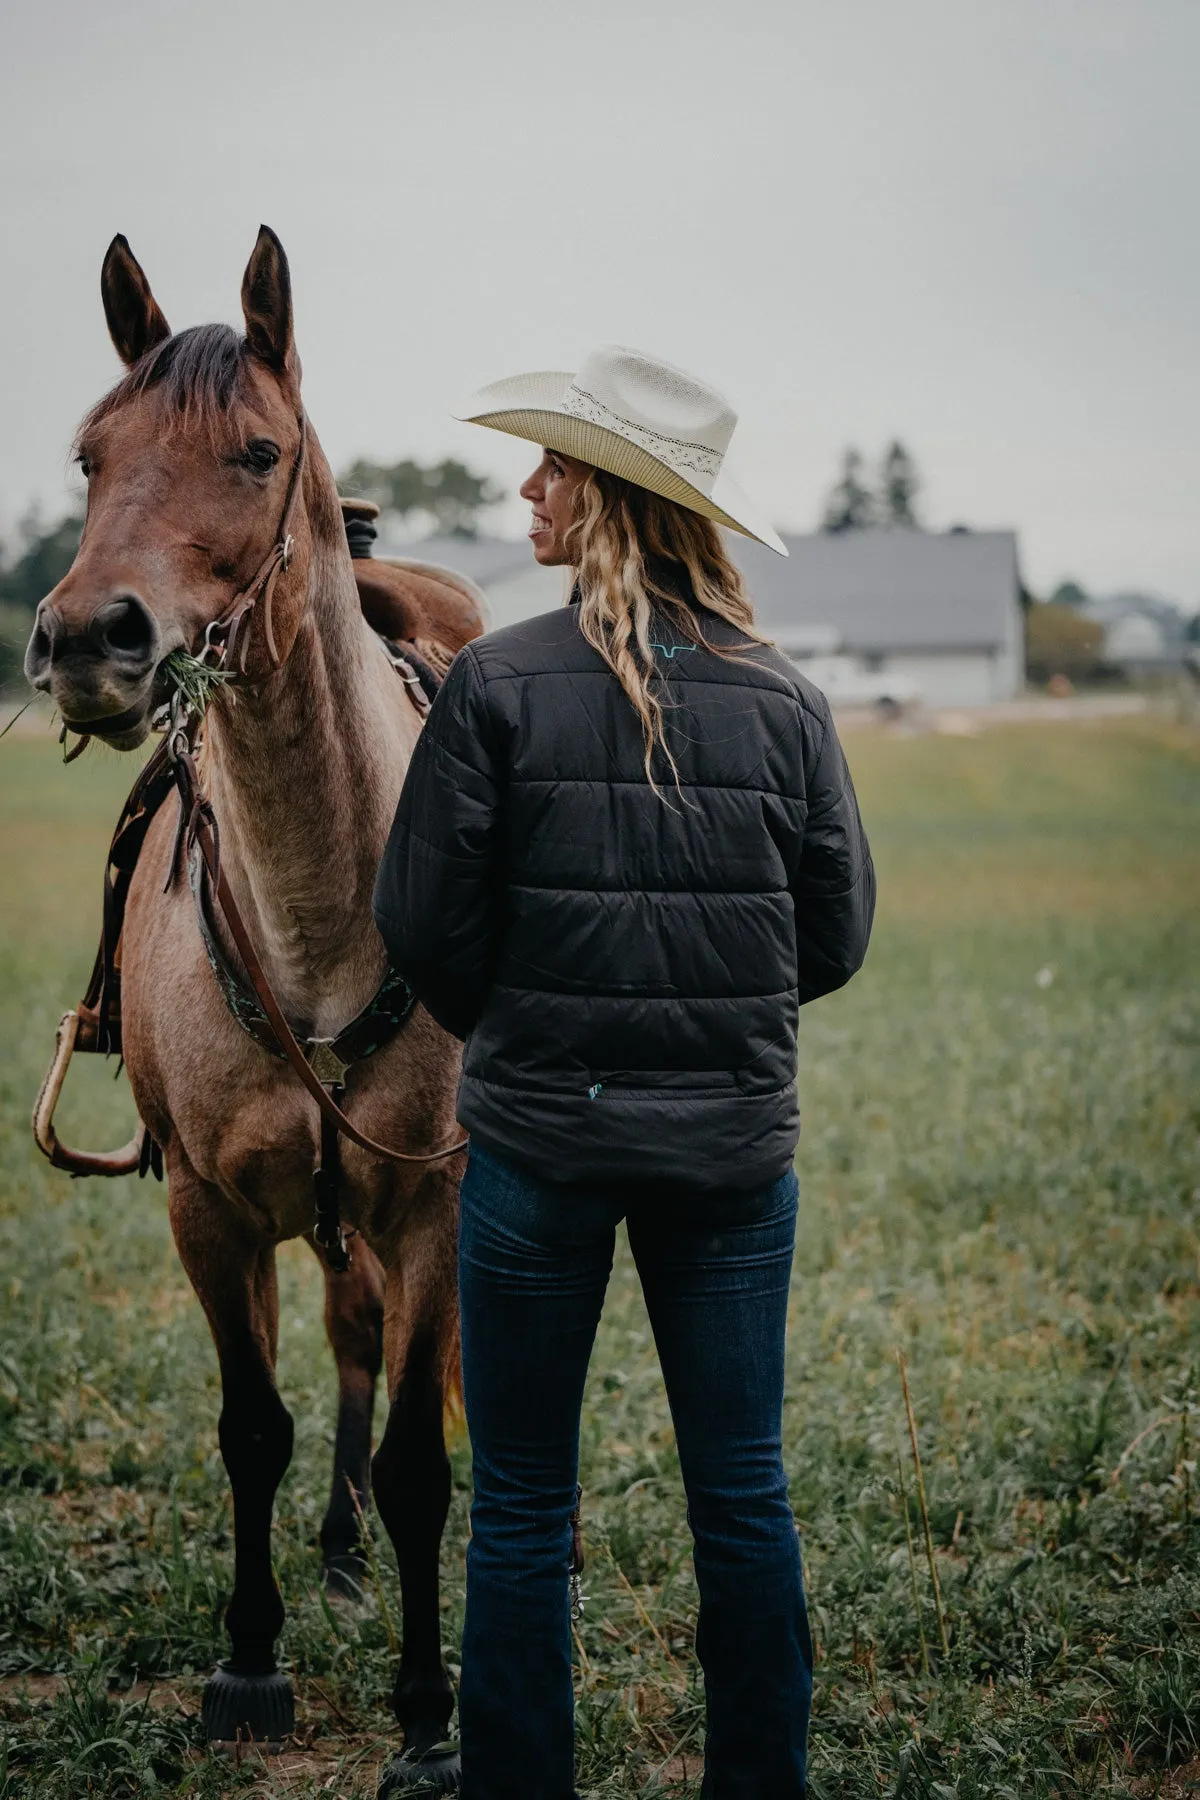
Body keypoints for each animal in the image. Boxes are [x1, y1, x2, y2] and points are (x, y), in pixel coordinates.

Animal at [23, 228, 478, 1800]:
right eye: (90, 458)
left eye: (257, 451)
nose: (85, 638)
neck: (318, 915)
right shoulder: (208, 1211)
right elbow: (251, 1427)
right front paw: (250, 1658)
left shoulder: (432, 1206)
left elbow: (417, 1460)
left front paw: (428, 1713)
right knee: (331, 1348)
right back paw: (332, 1562)